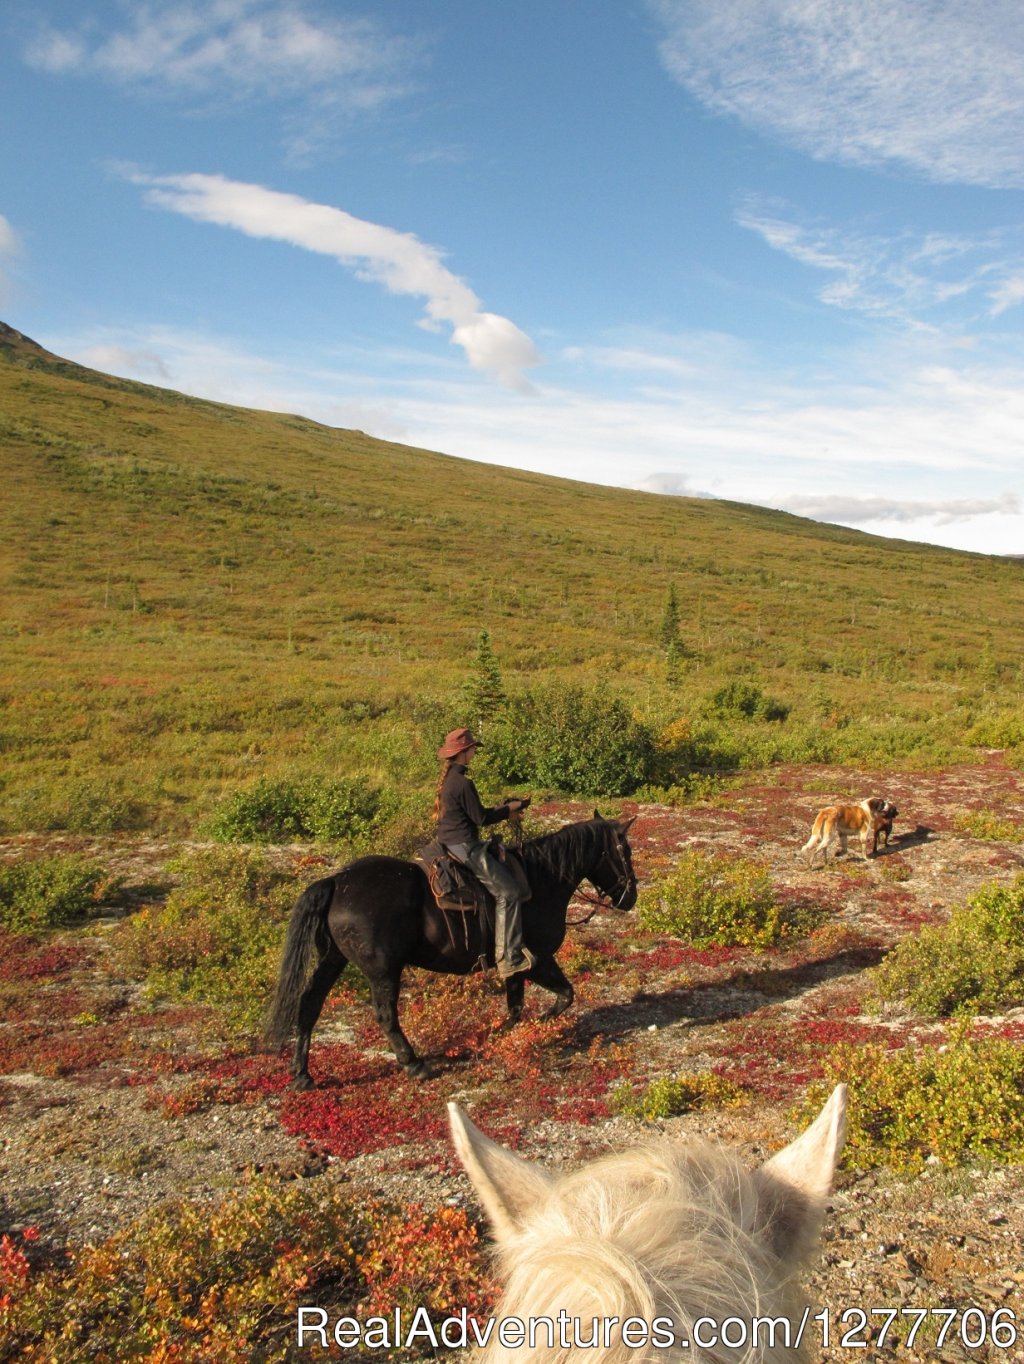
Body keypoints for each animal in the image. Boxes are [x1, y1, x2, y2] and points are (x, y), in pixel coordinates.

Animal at [265, 807, 632, 1085]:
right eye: (624, 852)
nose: (631, 897)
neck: (542, 880)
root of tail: (336, 881)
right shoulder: (539, 959)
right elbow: (565, 995)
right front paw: (538, 1024)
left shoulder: (515, 964)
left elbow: (516, 1006)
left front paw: (497, 1035)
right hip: (383, 970)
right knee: (385, 1015)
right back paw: (414, 1065)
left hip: (333, 958)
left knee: (310, 1004)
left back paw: (302, 1074)